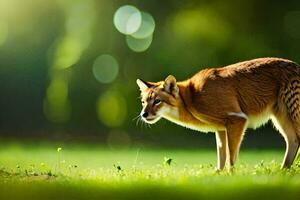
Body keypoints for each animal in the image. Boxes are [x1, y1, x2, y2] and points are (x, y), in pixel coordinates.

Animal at [137, 57, 300, 170]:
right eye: (144, 102)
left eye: (157, 101)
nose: (143, 115)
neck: (192, 97)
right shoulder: (221, 129)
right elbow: (221, 158)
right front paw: (219, 176)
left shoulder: (237, 120)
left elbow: (231, 159)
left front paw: (231, 177)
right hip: (281, 119)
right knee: (293, 141)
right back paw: (283, 171)